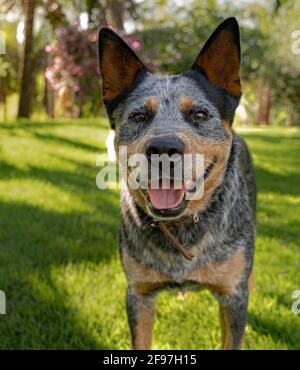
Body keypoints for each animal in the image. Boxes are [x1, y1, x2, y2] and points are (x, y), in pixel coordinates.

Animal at [98, 17, 255, 352]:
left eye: (199, 114)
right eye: (139, 116)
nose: (163, 148)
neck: (182, 228)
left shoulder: (233, 298)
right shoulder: (139, 294)